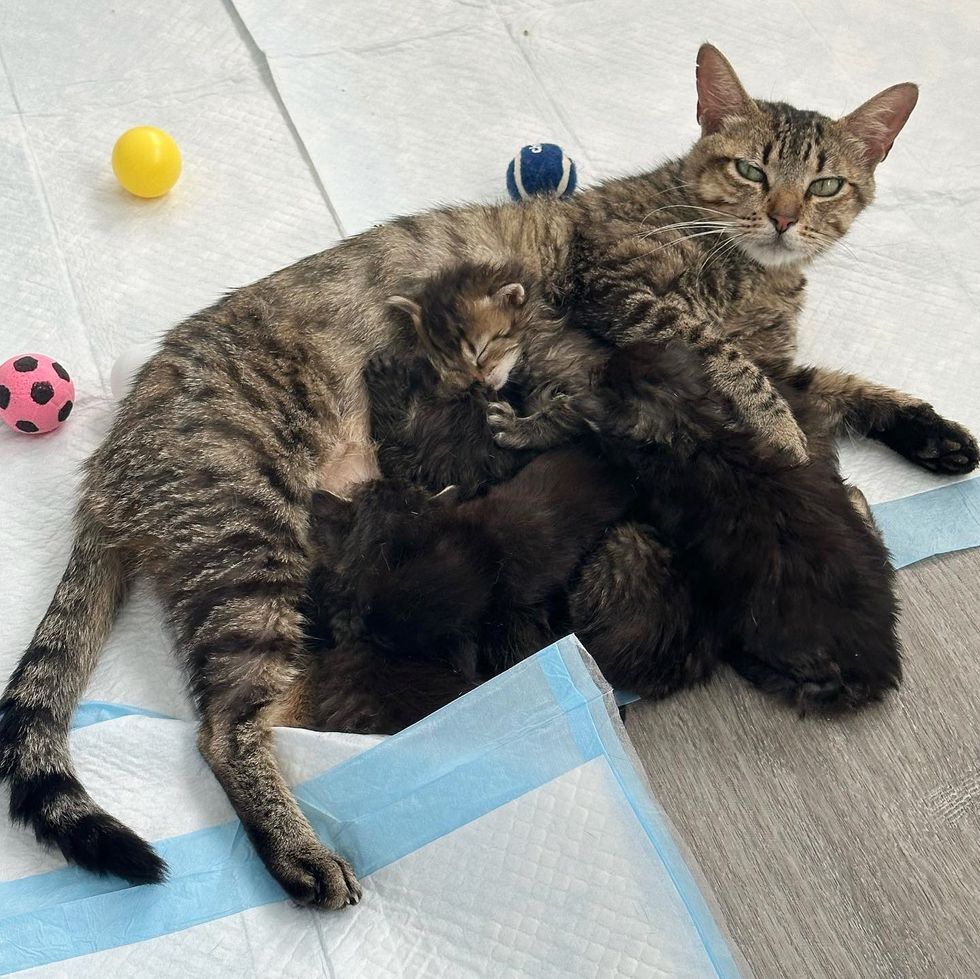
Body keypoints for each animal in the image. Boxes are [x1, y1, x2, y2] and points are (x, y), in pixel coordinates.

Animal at [1, 44, 972, 904]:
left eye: (826, 185)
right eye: (747, 170)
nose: (781, 216)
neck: (751, 274)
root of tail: (108, 464)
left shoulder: (776, 355)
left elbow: (834, 384)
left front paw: (923, 436)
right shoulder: (629, 294)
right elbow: (740, 369)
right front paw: (789, 445)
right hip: (249, 536)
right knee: (228, 725)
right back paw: (300, 854)